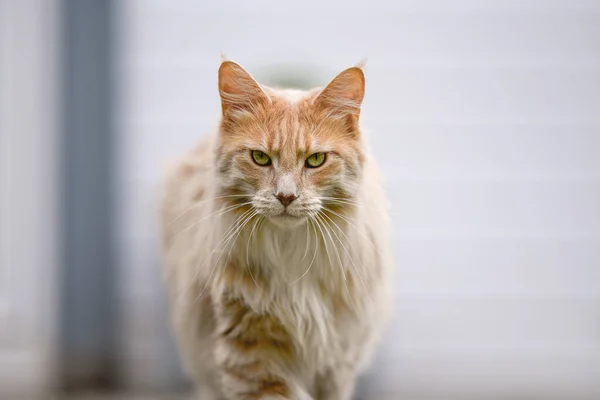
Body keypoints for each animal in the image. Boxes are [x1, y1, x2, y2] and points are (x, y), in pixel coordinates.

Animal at [161, 60, 394, 400]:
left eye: (316, 159)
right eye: (260, 158)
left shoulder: (337, 360)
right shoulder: (252, 353)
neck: (291, 253)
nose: (286, 196)